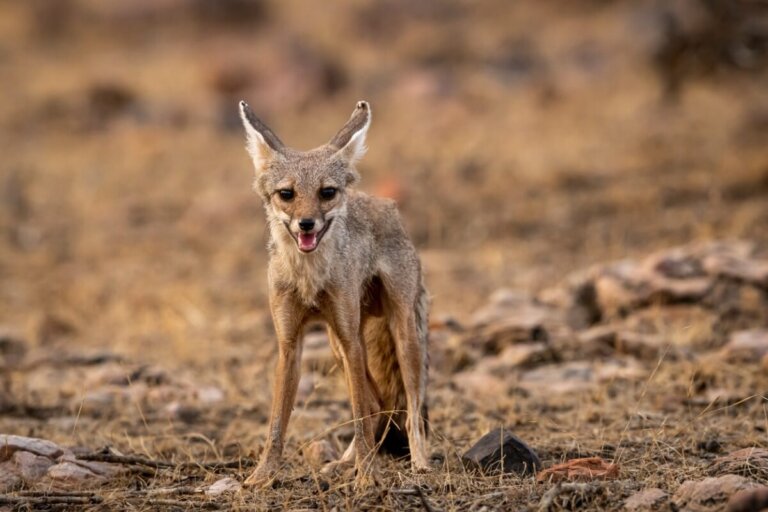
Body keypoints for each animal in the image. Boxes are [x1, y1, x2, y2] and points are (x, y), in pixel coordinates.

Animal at [238, 100, 430, 488]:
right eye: (287, 194)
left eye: (326, 192)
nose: (306, 224)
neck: (309, 278)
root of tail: (385, 204)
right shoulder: (289, 344)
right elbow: (277, 424)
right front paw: (262, 475)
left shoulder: (351, 338)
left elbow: (358, 415)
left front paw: (367, 476)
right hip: (335, 344)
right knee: (376, 405)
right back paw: (343, 463)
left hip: (400, 337)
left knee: (409, 410)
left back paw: (419, 463)